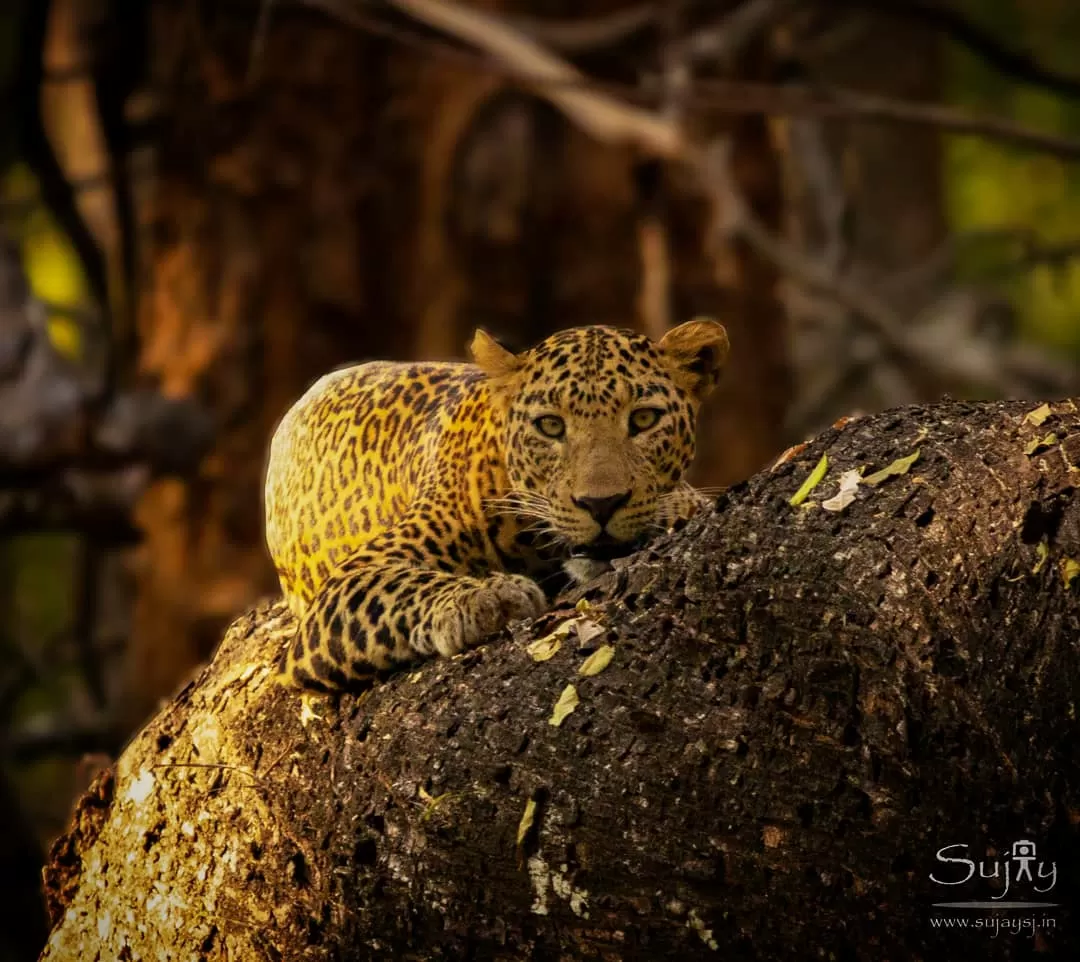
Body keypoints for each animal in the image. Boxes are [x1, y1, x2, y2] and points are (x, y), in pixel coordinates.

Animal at [265, 321, 730, 690]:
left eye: (644, 419)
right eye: (550, 425)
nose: (601, 504)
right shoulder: (350, 580)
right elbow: (400, 583)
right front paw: (485, 597)